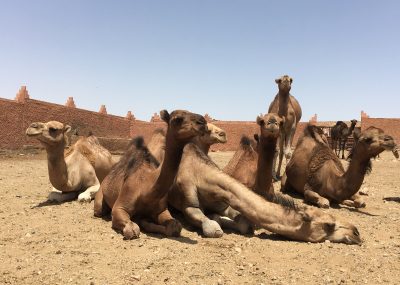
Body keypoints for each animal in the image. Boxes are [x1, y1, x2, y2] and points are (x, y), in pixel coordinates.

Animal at [93, 110, 206, 239]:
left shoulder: (161, 209)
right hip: (100, 197)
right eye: (177, 118)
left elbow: (175, 226)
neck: (146, 187)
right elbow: (133, 229)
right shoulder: (120, 206)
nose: (202, 122)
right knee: (99, 209)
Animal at [170, 141, 360, 243]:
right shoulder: (188, 200)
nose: (356, 233)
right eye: (329, 225)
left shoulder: (222, 202)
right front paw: (214, 224)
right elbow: (208, 224)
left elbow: (243, 222)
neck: (205, 177)